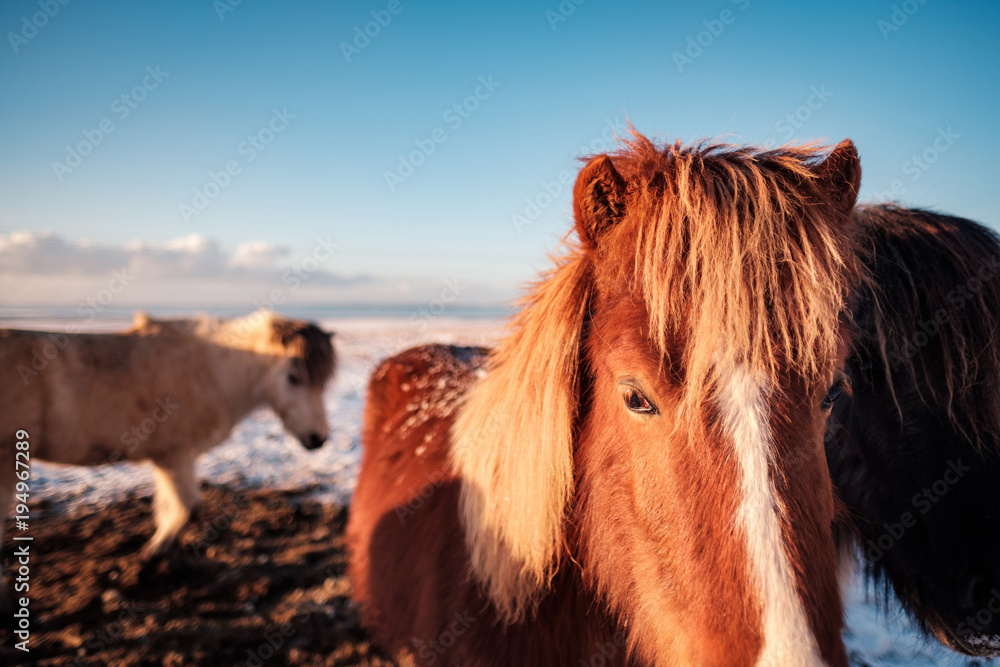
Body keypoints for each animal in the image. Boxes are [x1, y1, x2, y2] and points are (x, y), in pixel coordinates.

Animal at [0, 310, 335, 570]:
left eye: (324, 382)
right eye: (293, 378)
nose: (318, 438)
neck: (212, 372)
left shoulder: (169, 460)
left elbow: (169, 507)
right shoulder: (175, 456)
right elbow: (187, 508)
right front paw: (154, 553)